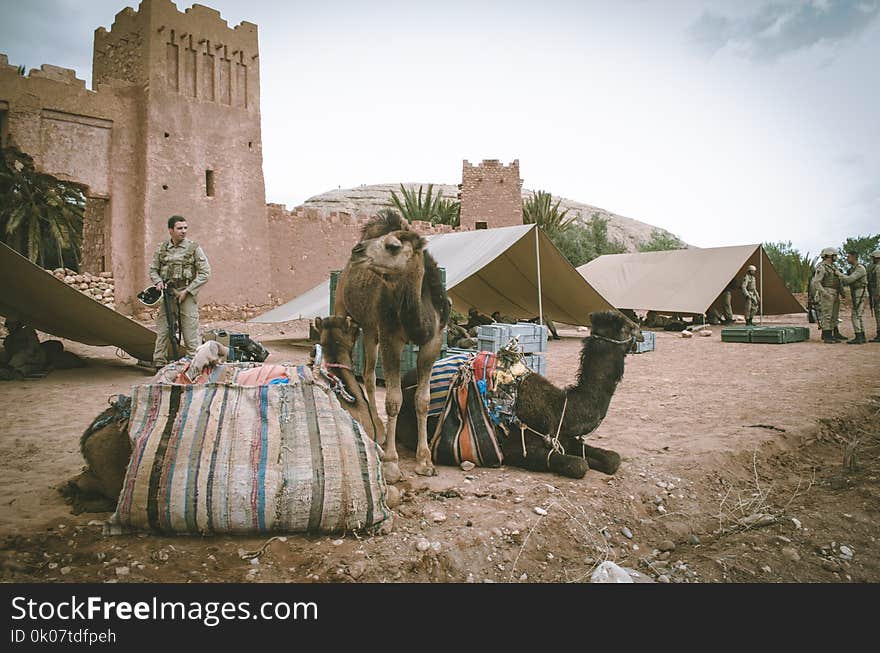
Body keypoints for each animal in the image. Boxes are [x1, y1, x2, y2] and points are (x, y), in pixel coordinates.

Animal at [336, 211, 450, 482]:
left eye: (393, 246)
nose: (357, 250)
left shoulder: (433, 341)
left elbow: (423, 400)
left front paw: (425, 461)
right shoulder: (390, 338)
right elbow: (393, 400)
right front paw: (390, 463)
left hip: (369, 329)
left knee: (367, 373)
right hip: (343, 308)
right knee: (365, 374)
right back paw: (377, 427)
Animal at [396, 308, 636, 476]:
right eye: (626, 327)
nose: (640, 332)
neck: (560, 408)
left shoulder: (564, 438)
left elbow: (613, 458)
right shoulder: (515, 448)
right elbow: (579, 465)